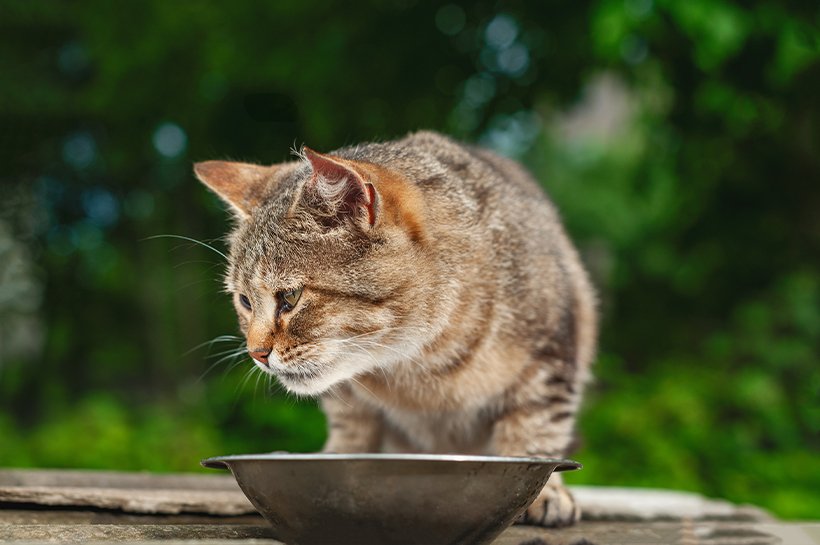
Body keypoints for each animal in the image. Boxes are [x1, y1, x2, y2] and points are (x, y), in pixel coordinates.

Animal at [196, 130, 600, 524]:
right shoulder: (349, 399)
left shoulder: (552, 357)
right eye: (245, 301)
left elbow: (536, 429)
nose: (256, 353)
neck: (419, 363)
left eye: (290, 297)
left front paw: (546, 492)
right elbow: (351, 430)